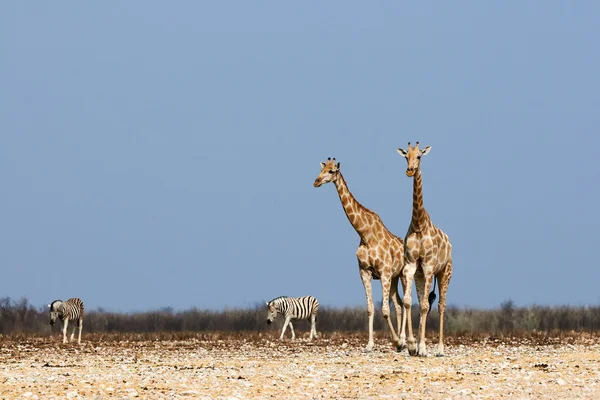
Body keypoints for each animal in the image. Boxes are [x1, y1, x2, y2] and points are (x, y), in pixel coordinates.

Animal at [314, 158, 408, 352]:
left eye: (332, 171)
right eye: (321, 169)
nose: (316, 181)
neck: (365, 235)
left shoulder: (384, 272)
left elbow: (385, 310)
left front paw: (396, 340)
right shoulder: (365, 272)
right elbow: (370, 308)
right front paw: (370, 345)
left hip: (402, 274)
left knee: (406, 303)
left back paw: (404, 340)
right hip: (394, 278)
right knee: (399, 304)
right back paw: (401, 342)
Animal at [396, 143, 452, 356]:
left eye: (419, 156)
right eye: (406, 156)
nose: (410, 170)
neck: (419, 224)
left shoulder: (428, 267)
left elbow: (428, 306)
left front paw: (422, 347)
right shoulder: (412, 266)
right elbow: (408, 302)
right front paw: (411, 345)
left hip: (445, 272)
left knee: (441, 305)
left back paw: (439, 349)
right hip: (421, 275)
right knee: (422, 303)